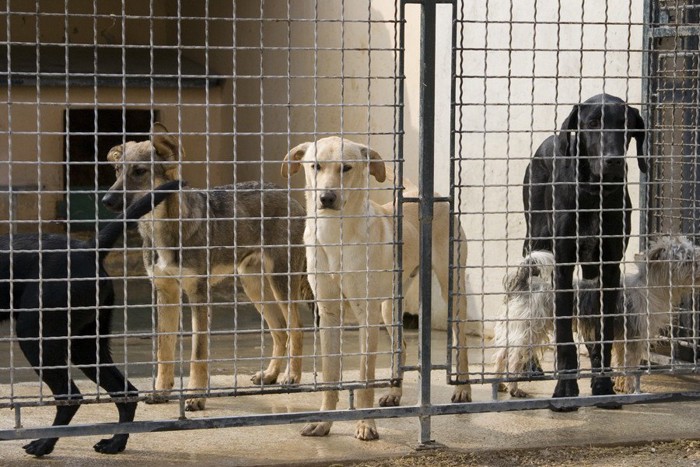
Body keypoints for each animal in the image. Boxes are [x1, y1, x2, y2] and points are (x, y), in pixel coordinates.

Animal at [0, 180, 180, 458]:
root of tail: (88, 248)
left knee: (71, 396)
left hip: (37, 336)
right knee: (125, 391)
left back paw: (44, 444)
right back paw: (115, 443)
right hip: (85, 343)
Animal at [103, 125, 308, 414]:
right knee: (279, 330)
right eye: (117, 170)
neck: (162, 227)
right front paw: (160, 392)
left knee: (296, 328)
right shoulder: (165, 294)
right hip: (253, 286)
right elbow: (164, 351)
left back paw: (292, 377)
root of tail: (288, 195)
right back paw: (269, 375)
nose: (106, 200)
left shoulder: (198, 295)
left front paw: (196, 397)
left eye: (140, 171)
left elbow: (197, 354)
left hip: (281, 283)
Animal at [280, 136, 470, 442]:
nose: (326, 198)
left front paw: (366, 424)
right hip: (388, 307)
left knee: (461, 339)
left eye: (346, 167)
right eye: (315, 166)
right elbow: (330, 374)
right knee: (401, 345)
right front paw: (324, 421)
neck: (335, 235)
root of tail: (430, 194)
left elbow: (366, 377)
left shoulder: (365, 317)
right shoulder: (328, 315)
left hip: (451, 288)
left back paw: (463, 388)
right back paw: (394, 392)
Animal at [492, 238, 700, 398]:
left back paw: (499, 383)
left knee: (502, 354)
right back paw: (513, 388)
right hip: (529, 330)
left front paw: (620, 385)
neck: (651, 288)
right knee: (513, 357)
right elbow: (630, 364)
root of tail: (525, 285)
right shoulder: (634, 337)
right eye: (688, 260)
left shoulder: (621, 339)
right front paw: (631, 388)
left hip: (518, 329)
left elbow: (621, 362)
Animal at [524, 92, 644, 410]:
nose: (613, 161)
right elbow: (564, 336)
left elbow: (604, 333)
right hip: (535, 245)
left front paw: (603, 385)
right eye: (592, 123)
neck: (594, 192)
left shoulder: (609, 268)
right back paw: (530, 366)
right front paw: (565, 390)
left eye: (625, 125)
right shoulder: (562, 267)